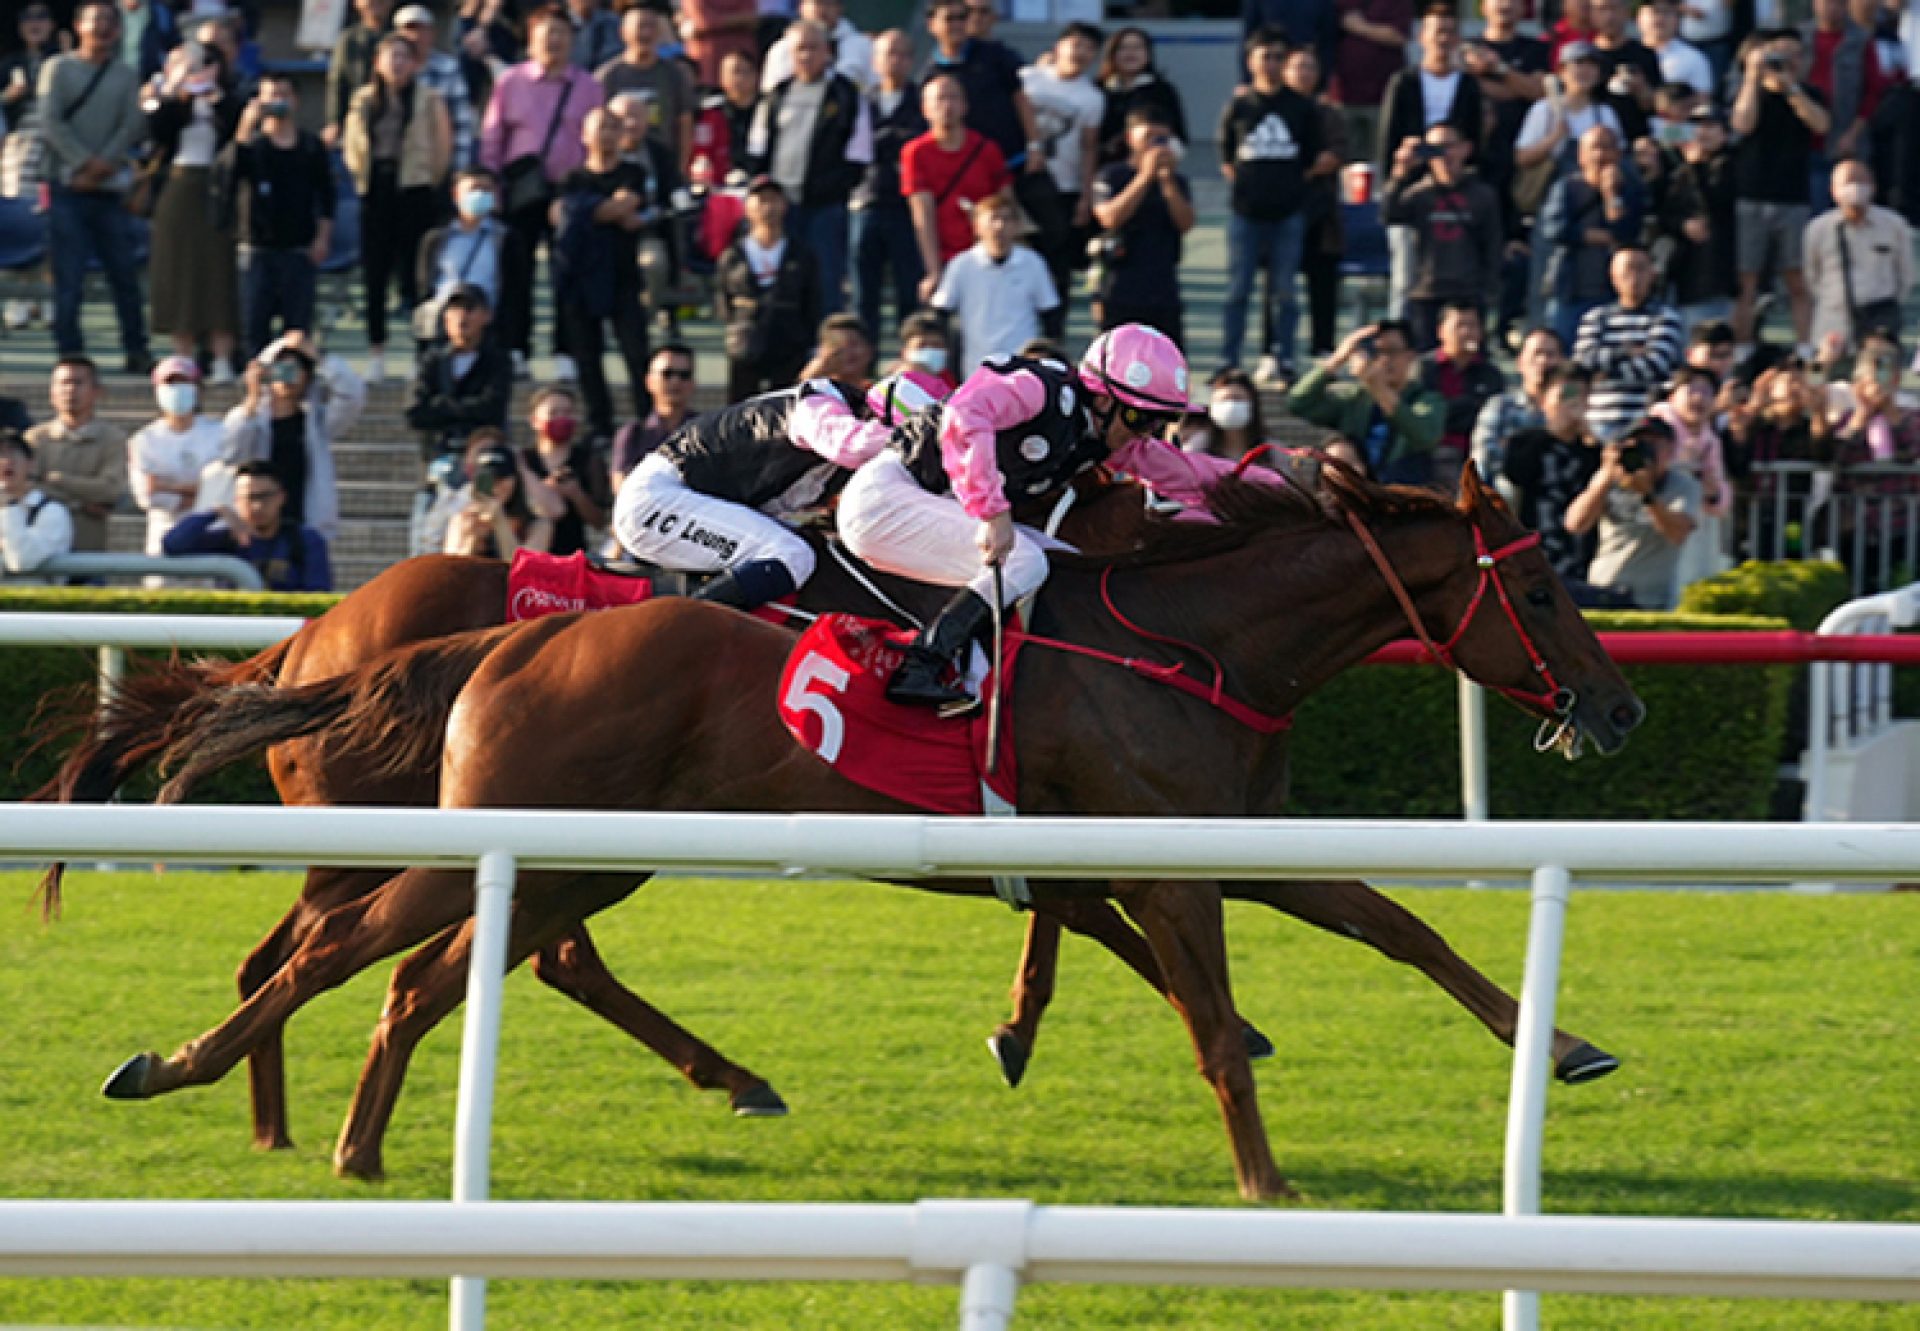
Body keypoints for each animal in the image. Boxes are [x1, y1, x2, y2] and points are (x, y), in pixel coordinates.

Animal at [97, 462, 1643, 1198]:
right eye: (1542, 587)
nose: (1621, 704)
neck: (1191, 638)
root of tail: (489, 639)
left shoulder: (1223, 844)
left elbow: (1400, 921)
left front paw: (1566, 1040)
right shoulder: (1164, 861)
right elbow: (1200, 1008)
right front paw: (1266, 1176)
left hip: (580, 850)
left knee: (425, 972)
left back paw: (353, 1141)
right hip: (489, 836)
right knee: (342, 951)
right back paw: (182, 1069)